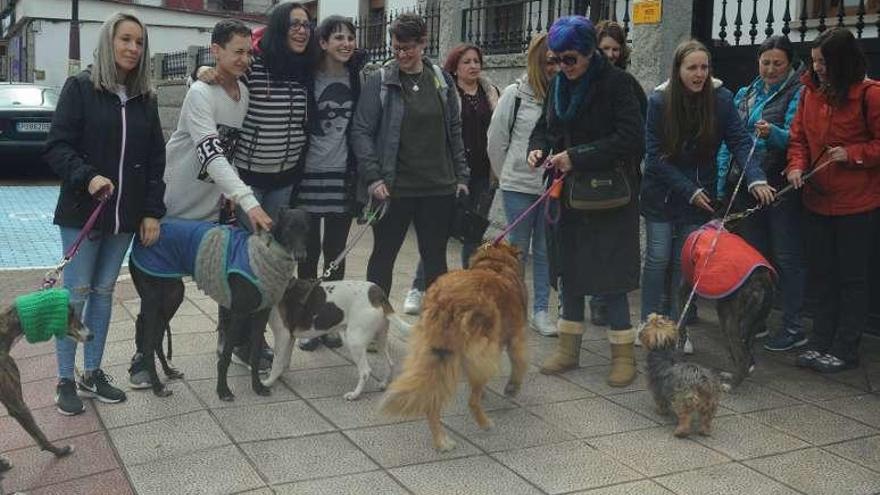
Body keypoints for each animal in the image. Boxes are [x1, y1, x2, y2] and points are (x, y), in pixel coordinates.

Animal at [262, 280, 398, 402]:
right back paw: (384, 384)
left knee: (365, 372)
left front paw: (269, 382)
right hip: (380, 339)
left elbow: (277, 362)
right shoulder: (290, 337)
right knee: (390, 363)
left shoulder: (282, 335)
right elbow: (285, 360)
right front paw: (281, 374)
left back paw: (354, 395)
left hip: (354, 341)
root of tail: (378, 294)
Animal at [380, 242, 528, 452]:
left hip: (435, 354)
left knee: (432, 398)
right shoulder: (516, 337)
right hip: (474, 353)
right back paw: (484, 423)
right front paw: (512, 387)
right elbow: (519, 364)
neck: (495, 263)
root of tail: (447, 302)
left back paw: (441, 440)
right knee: (471, 401)